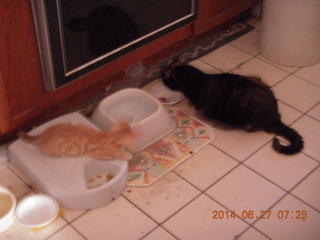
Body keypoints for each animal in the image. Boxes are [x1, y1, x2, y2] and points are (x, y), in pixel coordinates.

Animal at [161, 63, 304, 155]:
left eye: (164, 78)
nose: (160, 77)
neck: (196, 80)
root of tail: (276, 118)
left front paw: (192, 105)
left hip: (247, 119)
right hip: (256, 78)